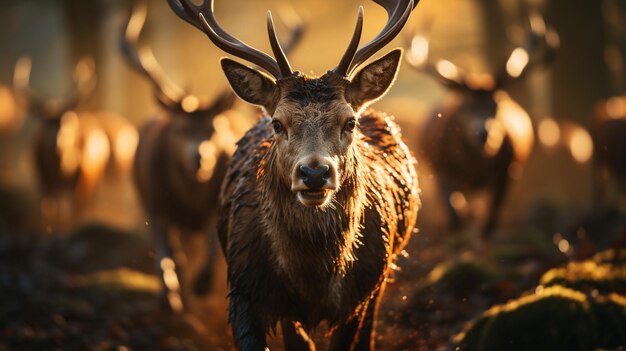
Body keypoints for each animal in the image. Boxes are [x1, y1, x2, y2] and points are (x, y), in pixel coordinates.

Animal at [123, 0, 304, 314]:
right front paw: (170, 295)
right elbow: (164, 252)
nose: (200, 159)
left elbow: (211, 243)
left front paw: (202, 282)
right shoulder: (154, 203)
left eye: (215, 128)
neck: (189, 198)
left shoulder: (218, 201)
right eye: (180, 129)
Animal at [167, 0, 420, 350]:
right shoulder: (244, 286)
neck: (312, 276)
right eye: (278, 123)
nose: (314, 172)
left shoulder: (360, 291)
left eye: (350, 122)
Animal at [404, 12, 556, 241]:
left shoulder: (508, 169)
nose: (484, 133)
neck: (474, 166)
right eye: (465, 106)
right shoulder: (441, 168)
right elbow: (455, 217)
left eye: (498, 104)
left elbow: (490, 222)